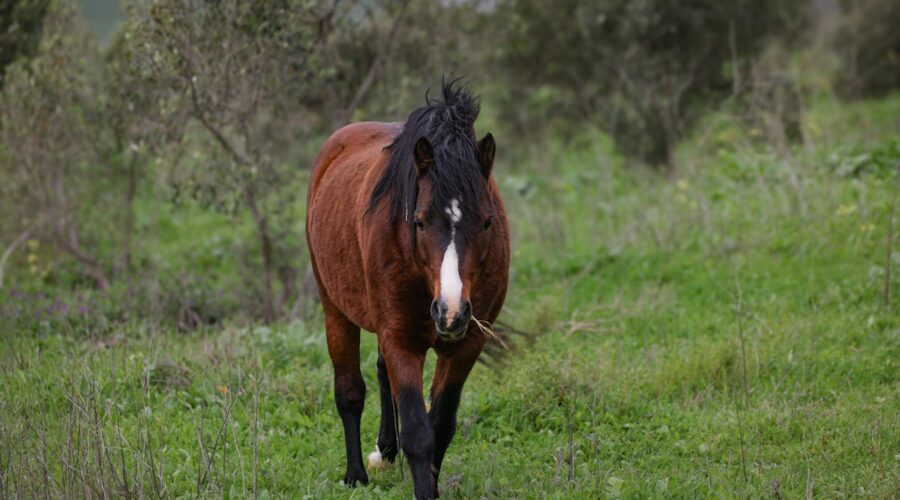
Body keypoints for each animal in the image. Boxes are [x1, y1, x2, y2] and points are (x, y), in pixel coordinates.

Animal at [305, 79, 509, 499]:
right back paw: (355, 474)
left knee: (382, 373)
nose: (451, 311)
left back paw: (385, 450)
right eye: (419, 221)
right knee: (350, 392)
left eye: (486, 222)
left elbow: (440, 426)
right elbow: (418, 432)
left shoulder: (467, 345)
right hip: (335, 309)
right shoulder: (401, 339)